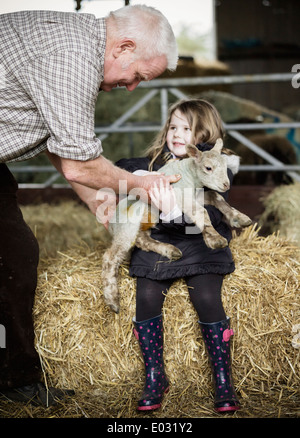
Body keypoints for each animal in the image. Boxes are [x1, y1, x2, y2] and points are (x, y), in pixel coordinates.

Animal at [102, 139, 252, 314]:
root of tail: (112, 222)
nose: (226, 185)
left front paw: (239, 218)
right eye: (208, 168)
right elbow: (201, 212)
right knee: (110, 257)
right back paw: (112, 299)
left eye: (225, 165)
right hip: (128, 226)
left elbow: (216, 197)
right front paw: (215, 240)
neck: (190, 175)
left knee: (142, 240)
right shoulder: (183, 197)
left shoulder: (197, 195)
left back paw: (170, 250)